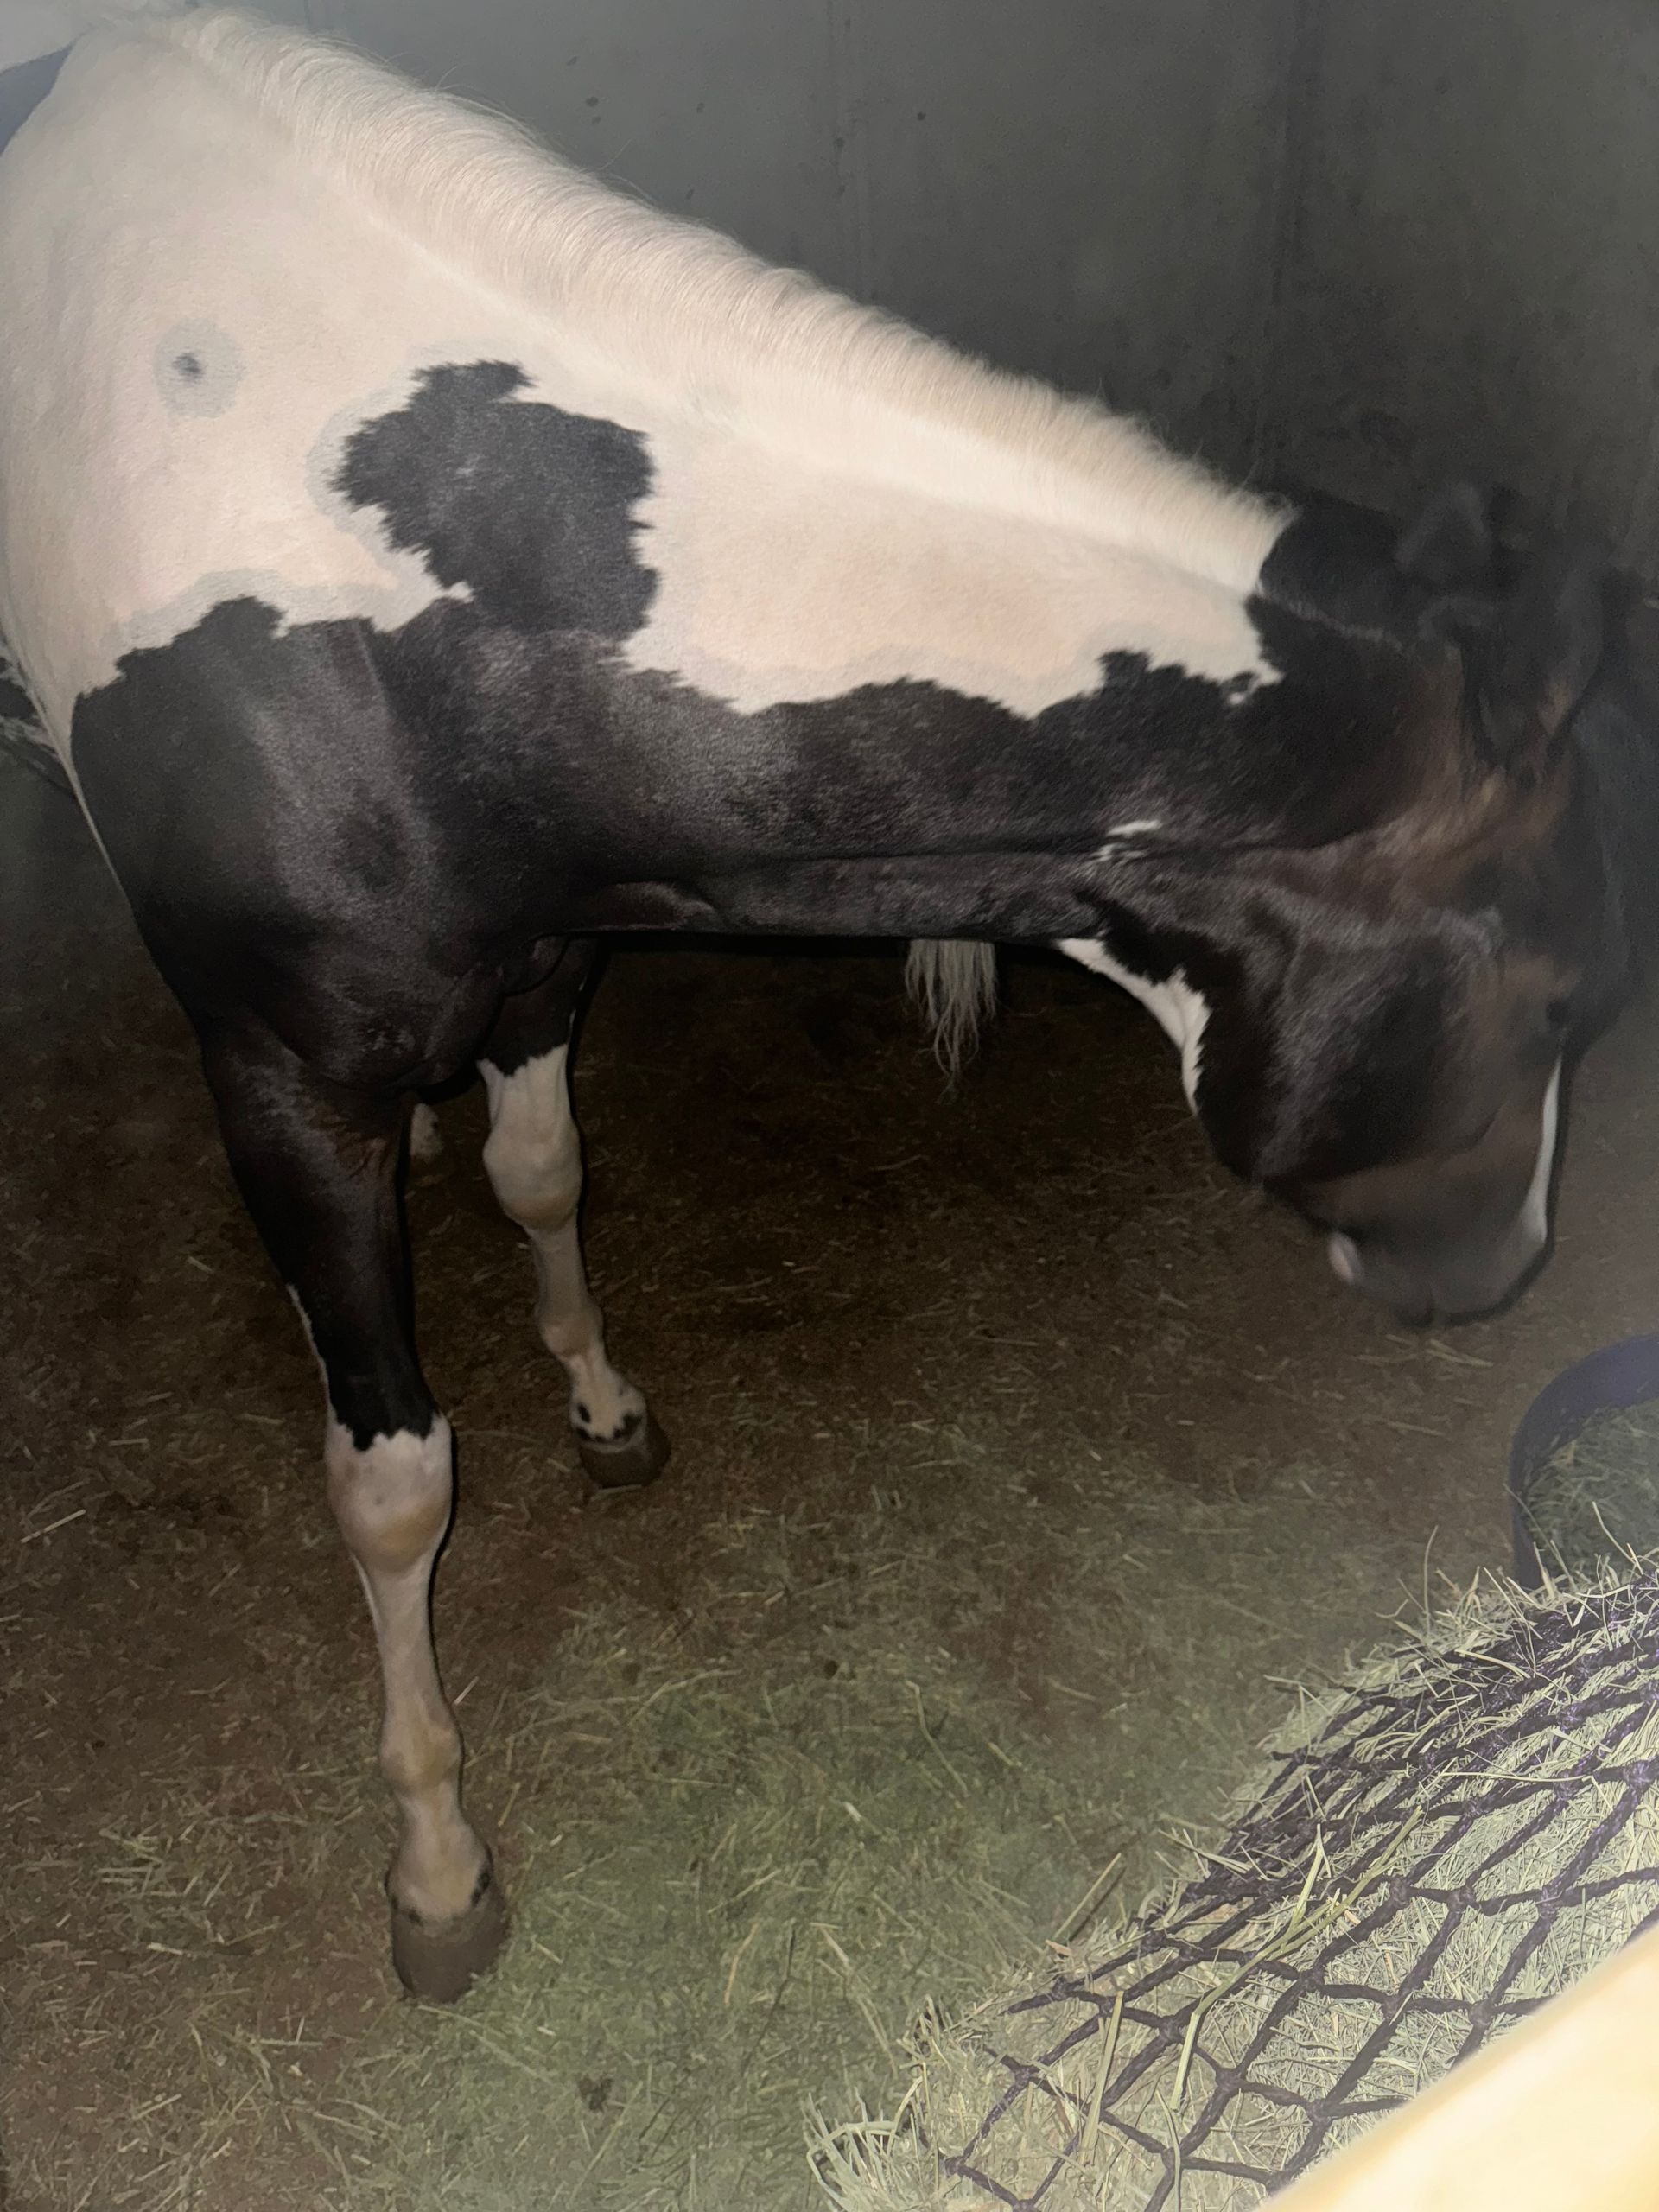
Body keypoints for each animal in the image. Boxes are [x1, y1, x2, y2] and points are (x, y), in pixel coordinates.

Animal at [2, 5, 1654, 1999]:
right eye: (1563, 1000)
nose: (1508, 1269)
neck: (404, 614)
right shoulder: (282, 1087)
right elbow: (392, 1486)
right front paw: (436, 1863)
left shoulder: (549, 958)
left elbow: (548, 1178)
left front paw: (601, 1402)